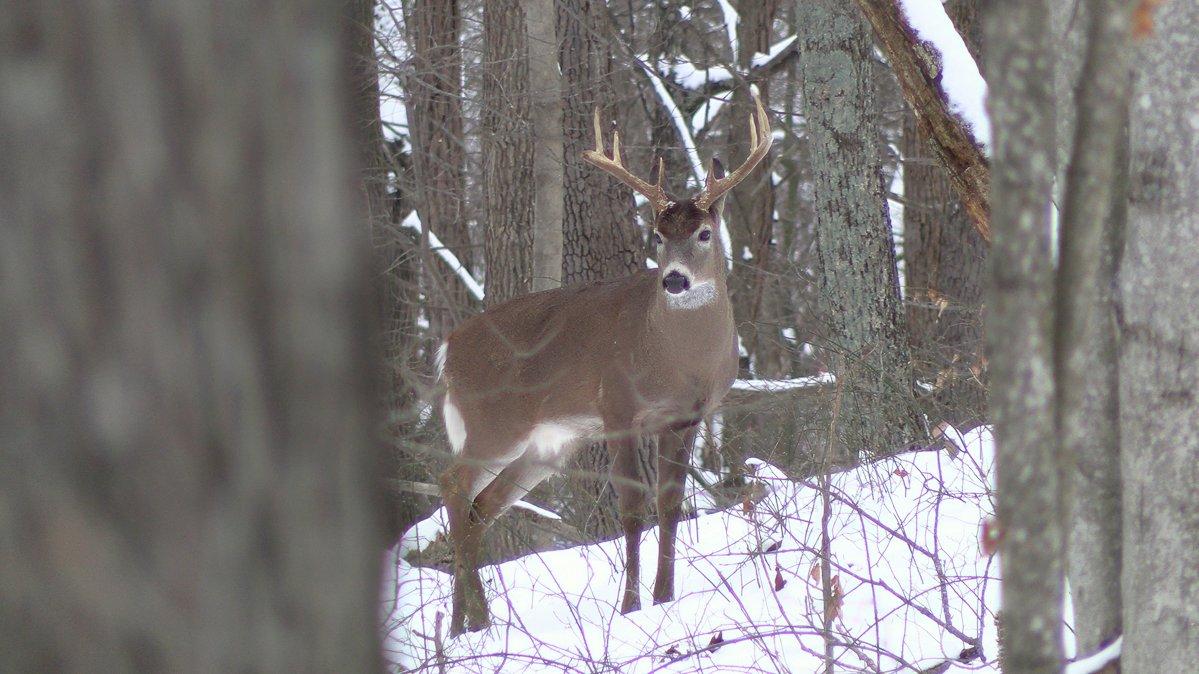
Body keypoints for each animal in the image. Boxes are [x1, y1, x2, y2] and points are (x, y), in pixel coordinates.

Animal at [436, 91, 772, 633]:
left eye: (704, 232)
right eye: (657, 235)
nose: (673, 280)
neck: (677, 359)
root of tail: (447, 349)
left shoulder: (687, 417)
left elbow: (671, 504)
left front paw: (664, 597)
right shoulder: (617, 407)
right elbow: (632, 507)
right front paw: (631, 607)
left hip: (544, 446)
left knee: (480, 506)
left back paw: (466, 624)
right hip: (493, 422)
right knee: (452, 485)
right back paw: (473, 623)